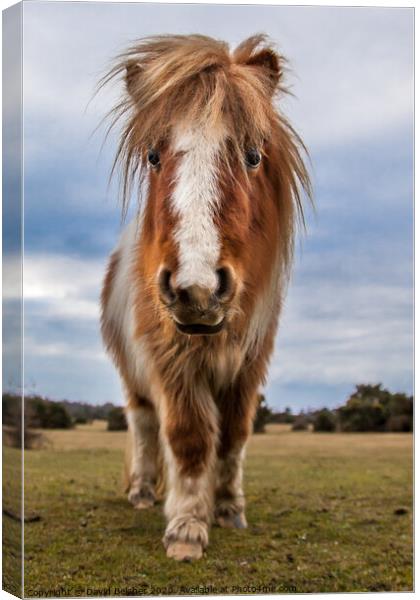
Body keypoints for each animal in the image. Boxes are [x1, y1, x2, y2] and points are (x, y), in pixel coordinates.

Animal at [100, 32, 310, 560]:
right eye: (153, 156)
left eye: (253, 156)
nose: (196, 290)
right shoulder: (172, 364)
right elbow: (190, 438)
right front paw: (187, 528)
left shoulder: (249, 364)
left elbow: (233, 436)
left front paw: (229, 508)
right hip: (135, 381)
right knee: (145, 428)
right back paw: (143, 492)